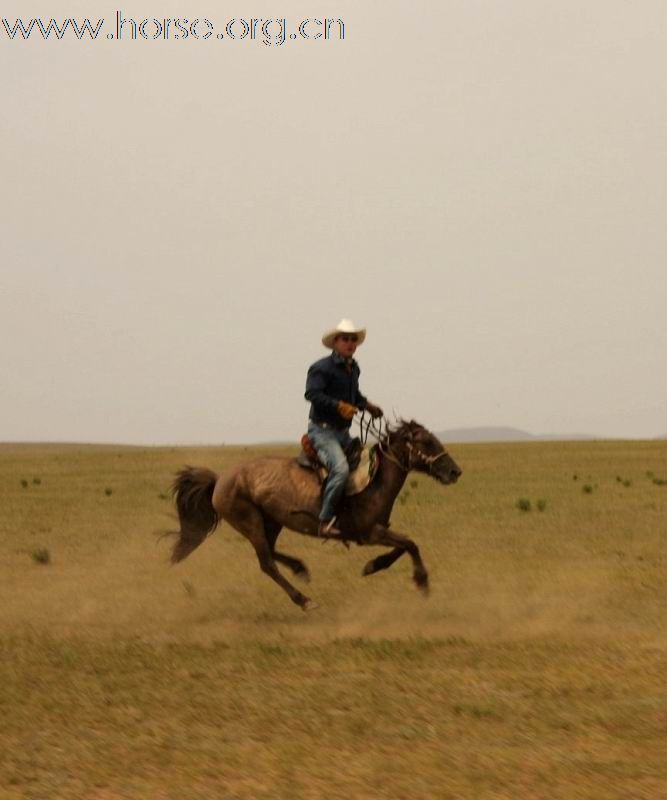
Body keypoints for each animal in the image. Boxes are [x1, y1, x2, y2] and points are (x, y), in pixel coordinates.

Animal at [168, 418, 460, 612]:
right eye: (427, 442)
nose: (455, 471)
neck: (375, 480)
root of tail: (220, 481)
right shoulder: (370, 533)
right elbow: (410, 543)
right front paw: (422, 582)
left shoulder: (378, 531)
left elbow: (403, 546)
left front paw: (372, 566)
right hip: (249, 521)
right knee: (267, 563)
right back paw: (305, 600)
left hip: (271, 521)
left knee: (270, 552)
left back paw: (300, 568)